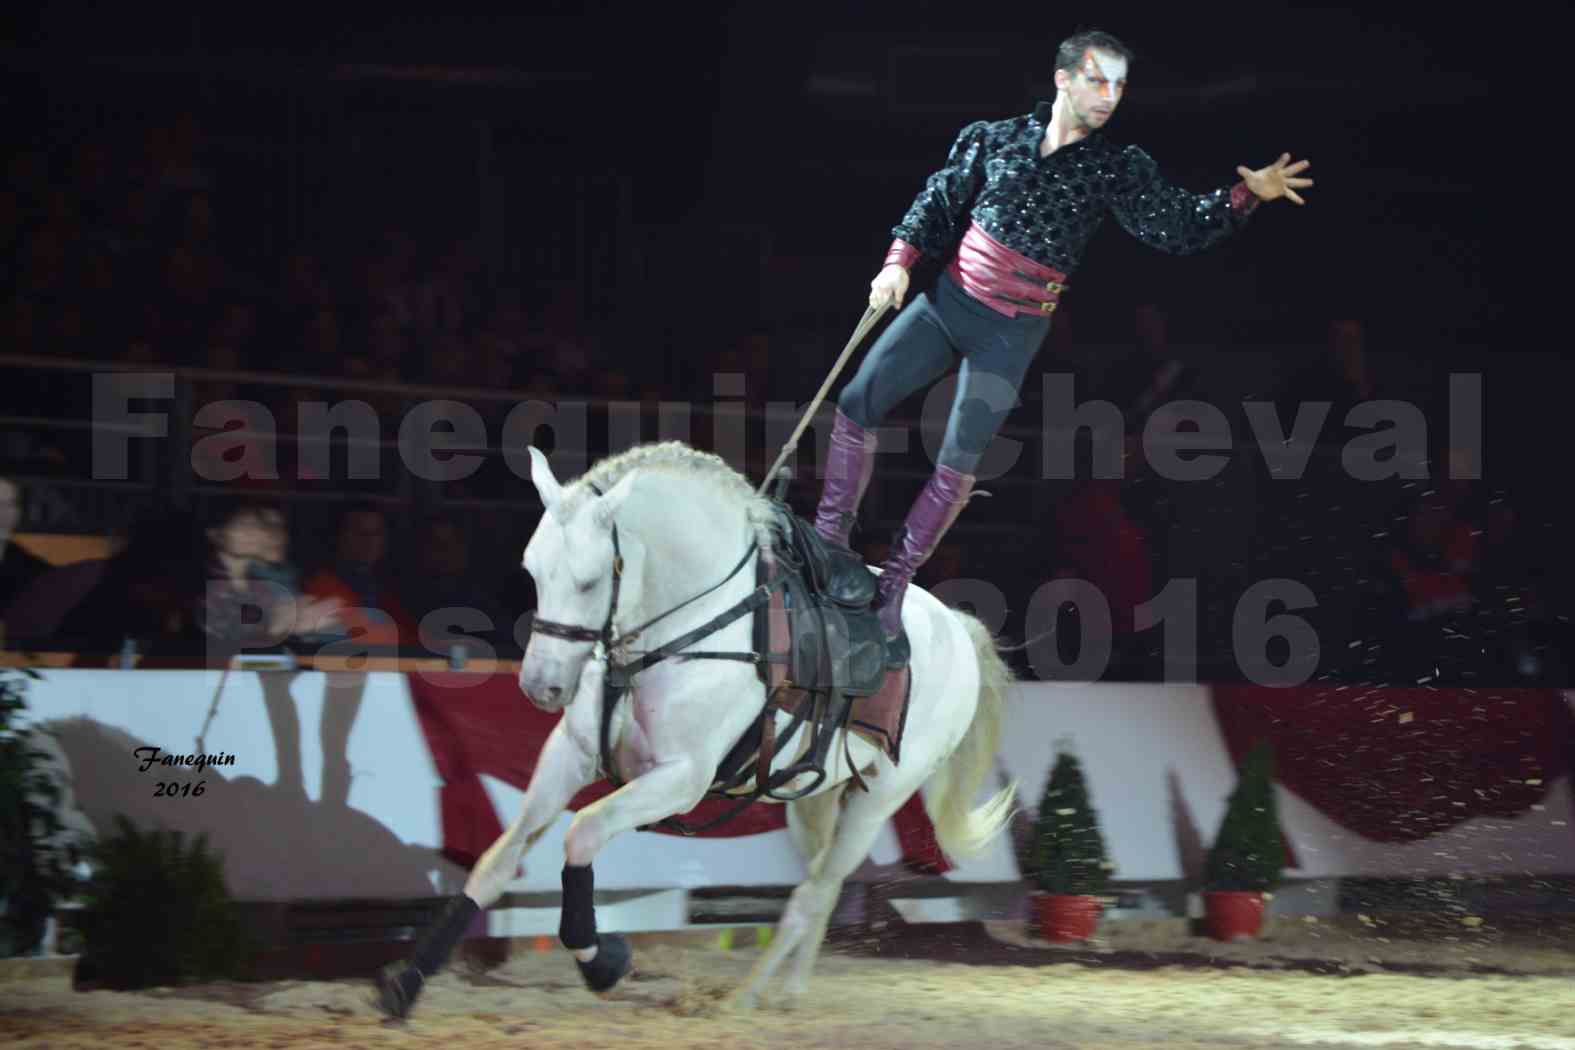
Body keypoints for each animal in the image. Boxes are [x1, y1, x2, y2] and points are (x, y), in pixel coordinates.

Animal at [382, 440, 1020, 1013]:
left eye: (590, 581)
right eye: (533, 571)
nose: (541, 686)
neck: (691, 624)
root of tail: (956, 625)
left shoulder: (679, 779)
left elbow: (582, 834)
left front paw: (603, 962)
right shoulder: (569, 754)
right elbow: (496, 861)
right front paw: (406, 983)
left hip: (880, 797)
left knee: (812, 893)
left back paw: (746, 996)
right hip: (814, 794)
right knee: (824, 886)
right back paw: (789, 990)